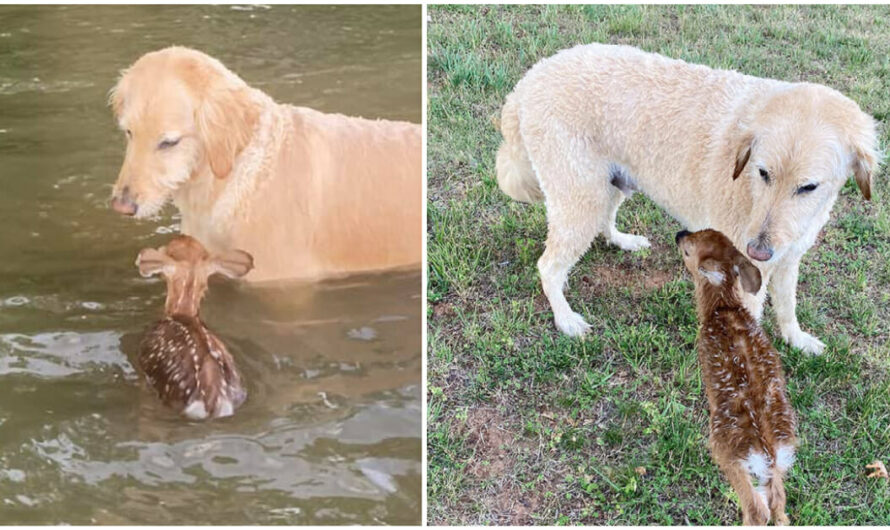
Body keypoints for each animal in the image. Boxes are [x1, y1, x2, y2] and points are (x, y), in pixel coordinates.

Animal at [496, 43, 876, 352]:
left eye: (808, 187)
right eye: (763, 173)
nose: (758, 251)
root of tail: (529, 78)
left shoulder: (787, 260)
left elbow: (787, 306)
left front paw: (796, 339)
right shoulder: (747, 278)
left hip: (611, 184)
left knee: (604, 222)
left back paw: (622, 240)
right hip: (581, 197)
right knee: (548, 266)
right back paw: (565, 318)